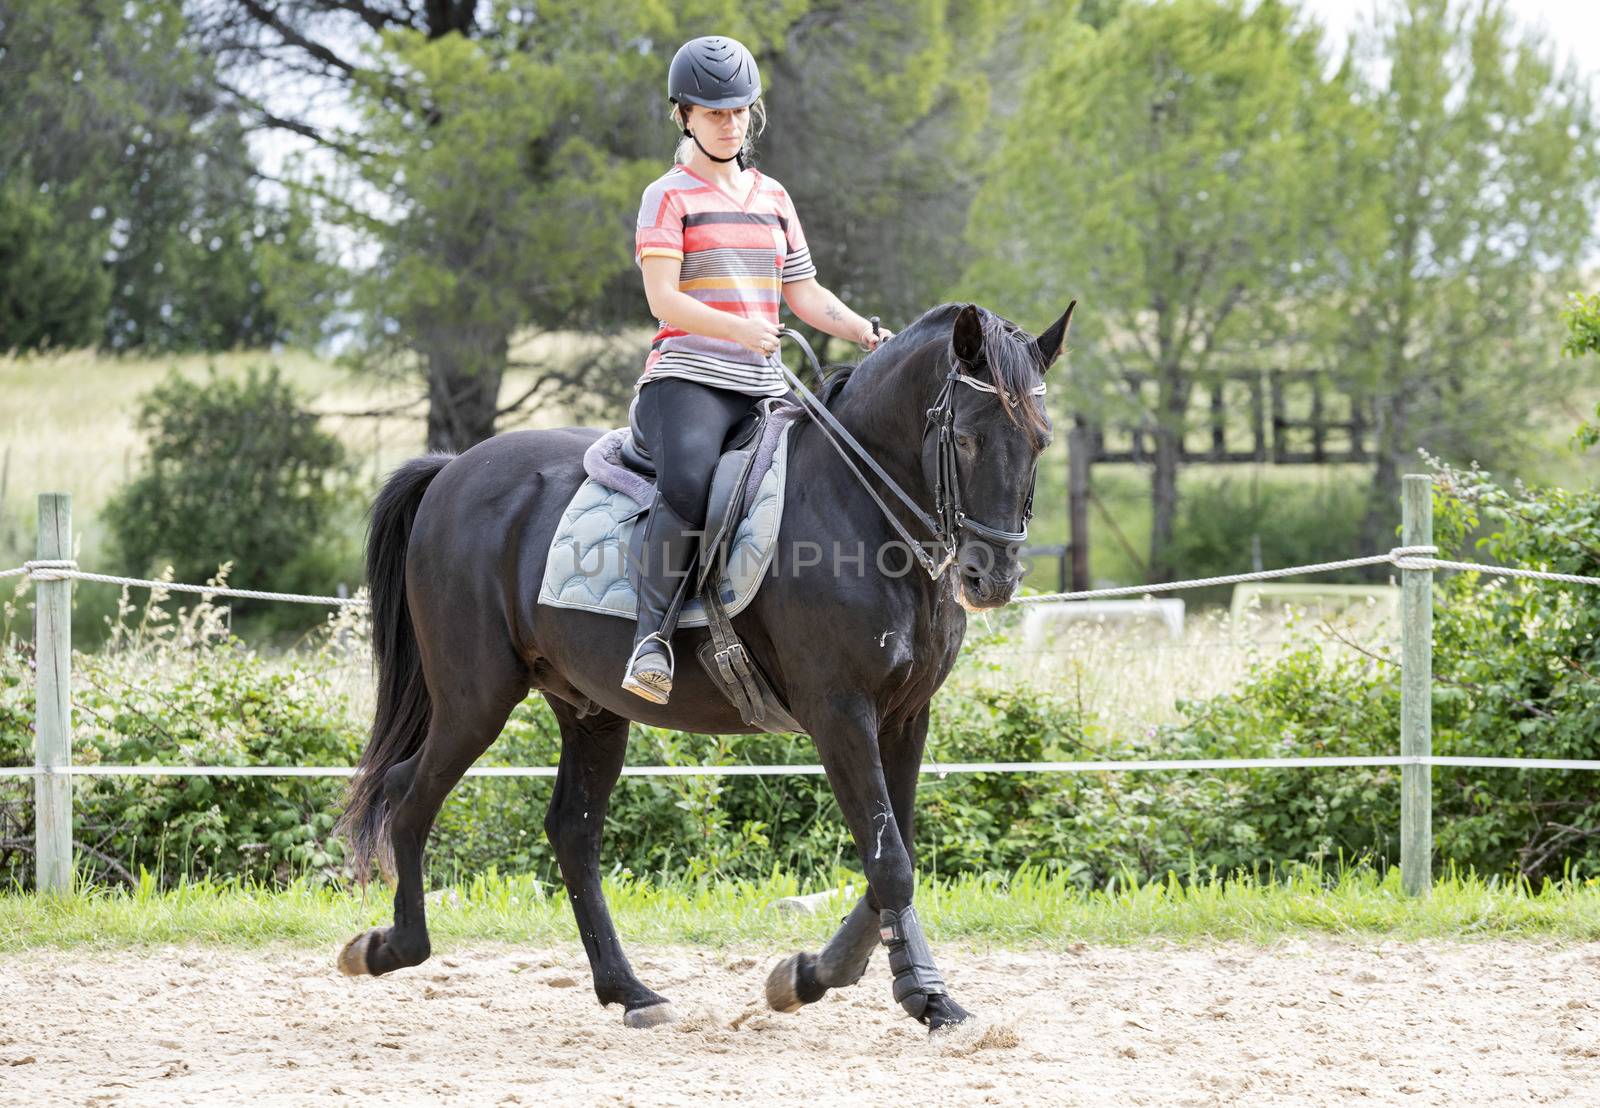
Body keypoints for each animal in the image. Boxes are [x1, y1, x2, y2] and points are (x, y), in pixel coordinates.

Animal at [337, 301, 1081, 1031]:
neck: (862, 513)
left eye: (1041, 440)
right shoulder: (840, 713)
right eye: (967, 439)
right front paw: (829, 982)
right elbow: (891, 864)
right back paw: (387, 948)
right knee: (407, 792)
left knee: (572, 833)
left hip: (590, 710)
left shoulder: (904, 716)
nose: (993, 578)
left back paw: (630, 992)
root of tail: (452, 469)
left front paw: (901, 990)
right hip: (475, 697)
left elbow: (892, 858)